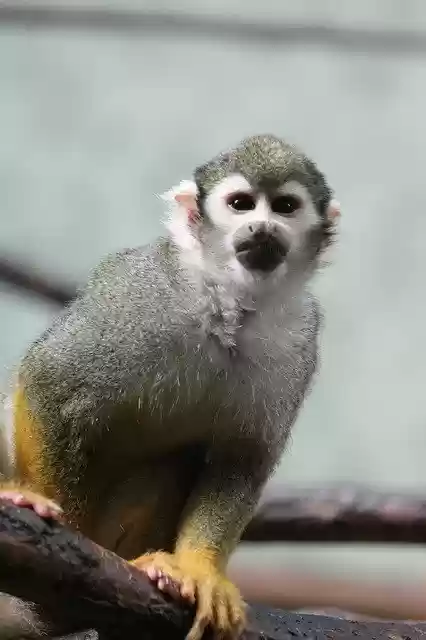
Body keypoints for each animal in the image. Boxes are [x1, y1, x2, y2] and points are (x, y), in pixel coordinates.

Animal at [1, 134, 340, 640]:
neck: (228, 305)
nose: (262, 227)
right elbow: (51, 380)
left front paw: (200, 570)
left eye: (285, 206)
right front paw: (62, 532)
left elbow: (243, 457)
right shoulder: (138, 297)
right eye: (241, 204)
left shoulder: (300, 339)